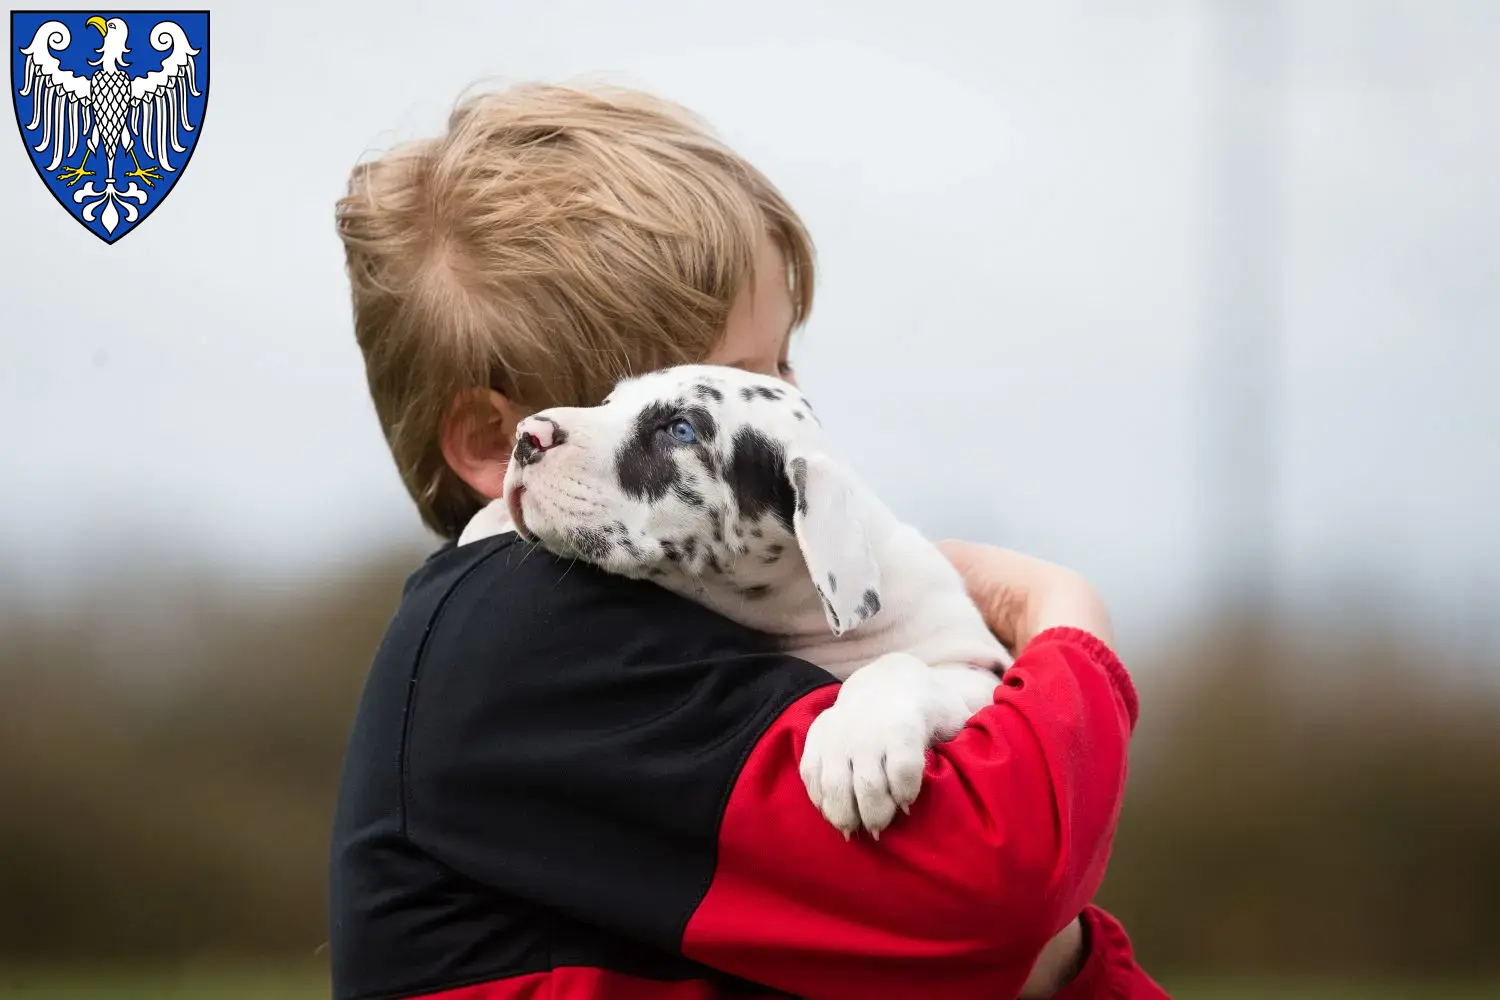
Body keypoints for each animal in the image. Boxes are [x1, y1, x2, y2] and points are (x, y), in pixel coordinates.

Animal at [462, 365, 1014, 839]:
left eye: (680, 430)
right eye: (608, 402)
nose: (528, 435)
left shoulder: (979, 672)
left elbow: (896, 665)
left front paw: (858, 740)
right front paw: (485, 521)